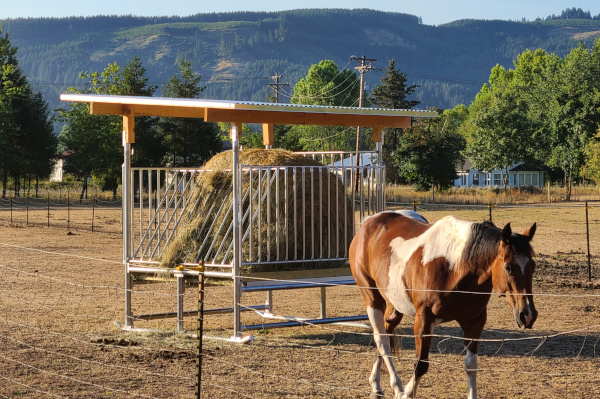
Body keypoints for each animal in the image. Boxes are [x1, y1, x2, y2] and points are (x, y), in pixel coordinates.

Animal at [350, 211, 536, 398]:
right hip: (372, 298)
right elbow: (421, 364)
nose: (527, 314)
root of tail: (369, 222)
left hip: (393, 304)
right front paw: (407, 393)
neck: (455, 268)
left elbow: (471, 366)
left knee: (386, 334)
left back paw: (377, 384)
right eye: (508, 267)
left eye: (533, 266)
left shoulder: (474, 322)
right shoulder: (424, 320)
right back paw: (395, 386)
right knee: (381, 340)